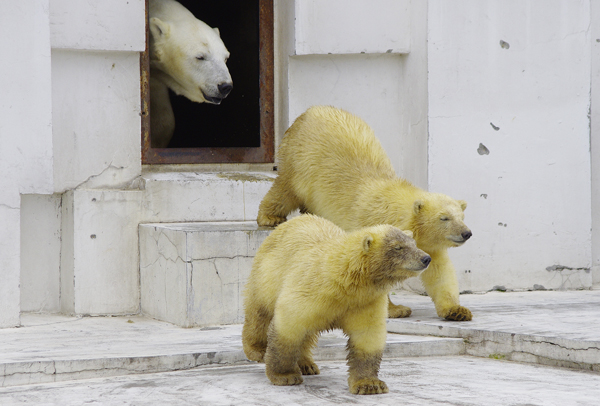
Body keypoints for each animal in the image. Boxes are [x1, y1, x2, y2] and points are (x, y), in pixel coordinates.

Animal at [241, 214, 428, 394]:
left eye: (413, 243)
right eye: (398, 247)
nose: (426, 258)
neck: (342, 279)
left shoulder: (364, 301)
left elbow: (367, 335)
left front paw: (370, 385)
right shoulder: (311, 289)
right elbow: (289, 325)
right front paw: (285, 376)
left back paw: (307, 364)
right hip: (267, 274)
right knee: (259, 313)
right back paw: (258, 350)